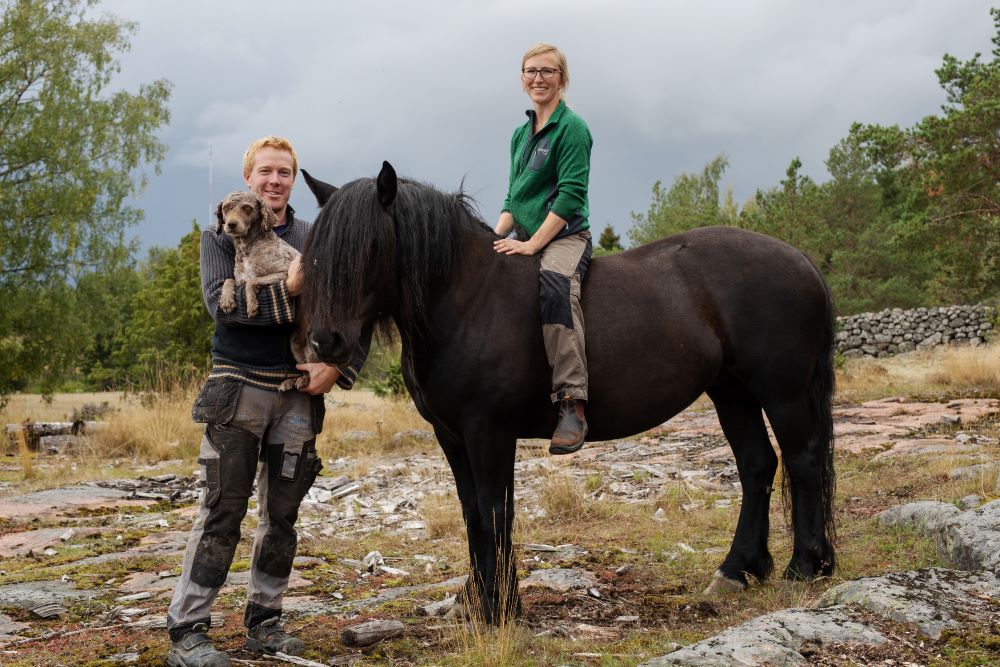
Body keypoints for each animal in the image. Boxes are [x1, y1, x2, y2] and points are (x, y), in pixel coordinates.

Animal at [215, 190, 316, 392]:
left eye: (247, 208)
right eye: (226, 207)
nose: (231, 224)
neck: (247, 248)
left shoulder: (283, 273)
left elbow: (252, 282)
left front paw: (252, 306)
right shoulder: (239, 279)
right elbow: (230, 280)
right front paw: (227, 301)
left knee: (312, 370)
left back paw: (302, 381)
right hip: (295, 344)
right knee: (302, 369)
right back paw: (289, 382)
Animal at [302, 164, 836, 624]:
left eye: (371, 246)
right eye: (316, 248)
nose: (325, 341)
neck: (467, 297)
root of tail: (801, 260)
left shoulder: (489, 434)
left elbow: (495, 514)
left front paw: (501, 609)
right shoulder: (451, 437)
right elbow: (473, 516)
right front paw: (475, 601)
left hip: (782, 393)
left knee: (803, 462)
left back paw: (802, 568)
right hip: (732, 393)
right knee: (758, 466)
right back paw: (738, 570)